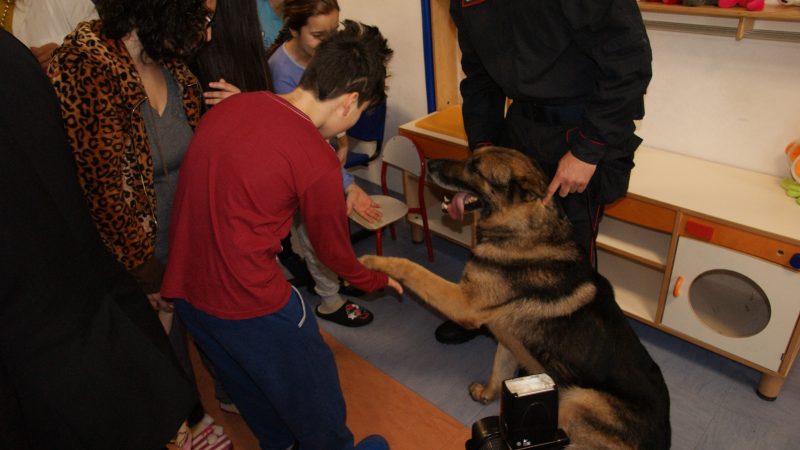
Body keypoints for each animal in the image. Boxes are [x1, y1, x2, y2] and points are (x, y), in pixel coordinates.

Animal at [360, 148, 668, 450]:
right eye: (470, 156)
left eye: (476, 167)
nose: (429, 163)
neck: (522, 231)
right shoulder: (507, 336)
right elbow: (499, 370)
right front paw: (488, 395)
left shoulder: (463, 303)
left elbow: (413, 268)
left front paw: (375, 262)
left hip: (577, 400)